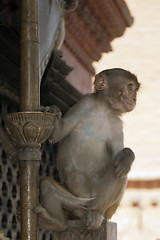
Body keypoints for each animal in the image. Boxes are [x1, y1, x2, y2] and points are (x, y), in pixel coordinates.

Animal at [36, 67, 140, 231]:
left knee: (119, 170)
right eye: (130, 88)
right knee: (47, 185)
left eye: (135, 89)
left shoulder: (116, 124)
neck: (103, 109)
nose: (135, 99)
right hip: (76, 204)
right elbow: (58, 133)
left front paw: (127, 155)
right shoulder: (83, 105)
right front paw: (53, 111)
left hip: (108, 209)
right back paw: (56, 222)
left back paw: (96, 212)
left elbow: (117, 155)